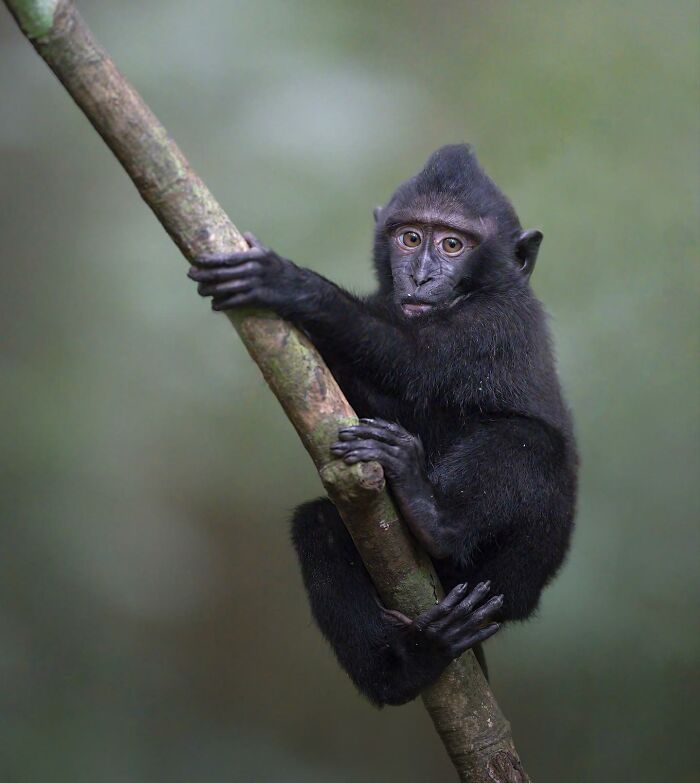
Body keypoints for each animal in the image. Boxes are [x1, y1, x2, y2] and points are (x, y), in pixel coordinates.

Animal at [188, 144, 577, 706]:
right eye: (409, 237)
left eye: (453, 244)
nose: (420, 277)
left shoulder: (498, 320)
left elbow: (415, 360)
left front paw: (289, 283)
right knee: (318, 526)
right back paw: (405, 667)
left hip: (519, 572)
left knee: (532, 443)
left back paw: (432, 516)